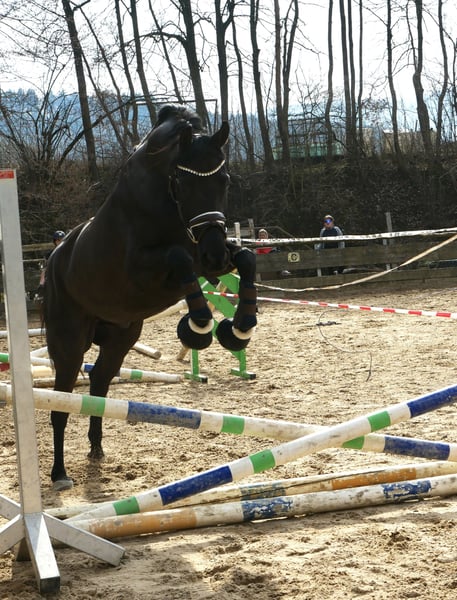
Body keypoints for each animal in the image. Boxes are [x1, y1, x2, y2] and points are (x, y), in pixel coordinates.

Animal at [43, 105, 257, 491]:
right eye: (185, 184)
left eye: (225, 181)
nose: (216, 255)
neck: (167, 201)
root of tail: (53, 259)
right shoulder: (144, 271)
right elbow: (179, 257)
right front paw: (198, 327)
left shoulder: (207, 253)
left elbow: (246, 257)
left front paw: (239, 328)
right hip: (69, 342)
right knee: (61, 403)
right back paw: (60, 474)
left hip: (120, 338)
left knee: (99, 384)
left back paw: (96, 449)